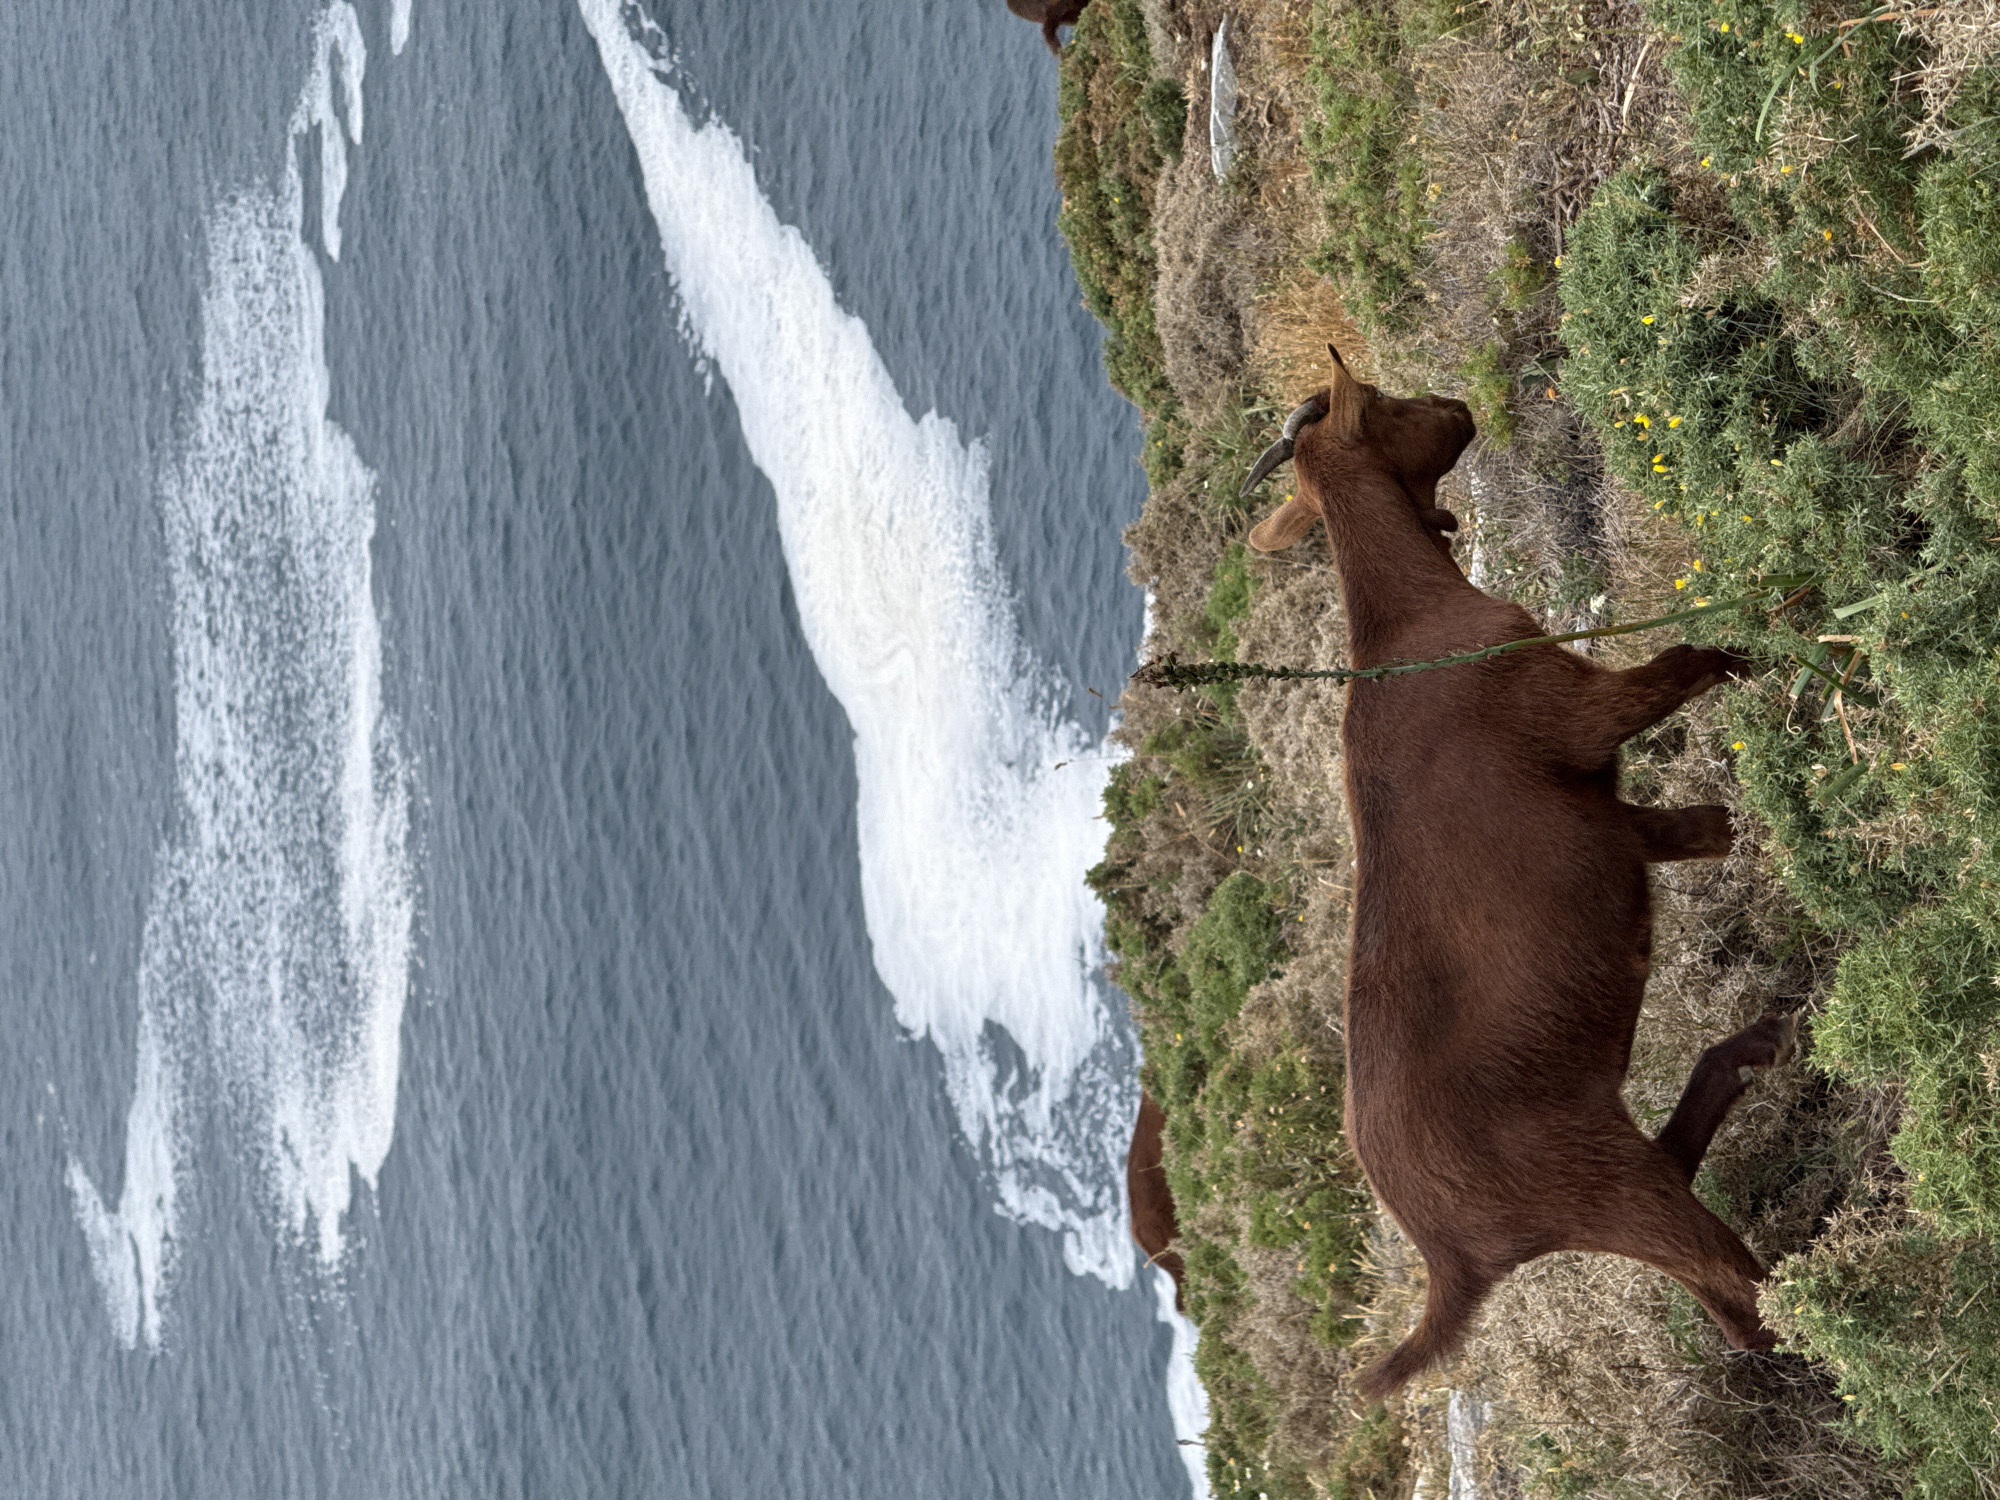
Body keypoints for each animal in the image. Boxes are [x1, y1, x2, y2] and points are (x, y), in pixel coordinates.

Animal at [1240, 348, 1796, 1400]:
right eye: (1385, 401)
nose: (1456, 403)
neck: (1409, 622)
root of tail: (1447, 1259)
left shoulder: (1612, 821)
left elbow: (1711, 830)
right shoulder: (1577, 712)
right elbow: (1687, 659)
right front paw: (1784, 619)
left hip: (1603, 1164)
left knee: (1698, 1229)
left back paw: (1755, 1048)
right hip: (1596, 1182)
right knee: (1738, 1298)